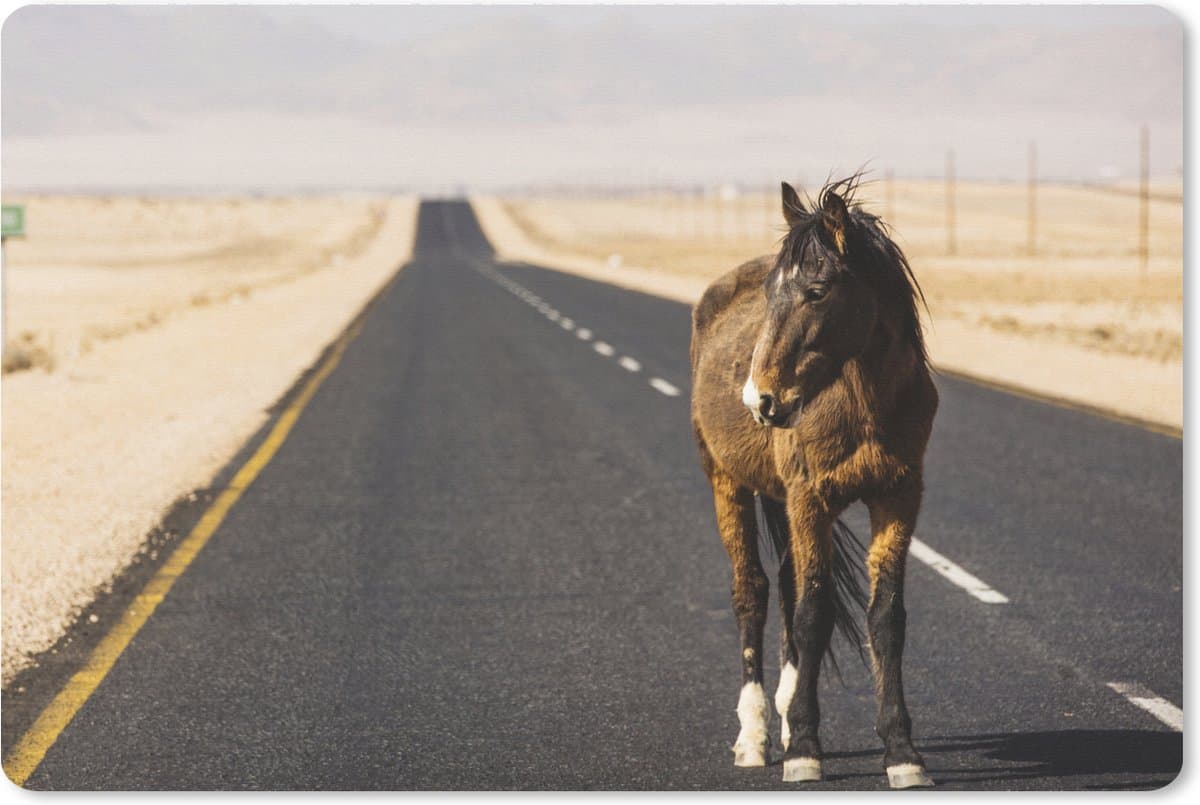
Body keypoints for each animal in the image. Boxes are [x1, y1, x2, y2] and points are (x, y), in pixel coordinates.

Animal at [689, 176, 938, 788]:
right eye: (771, 293)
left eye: (818, 291)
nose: (759, 400)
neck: (863, 402)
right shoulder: (811, 499)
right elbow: (814, 613)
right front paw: (804, 746)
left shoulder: (899, 496)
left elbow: (885, 617)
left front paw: (902, 752)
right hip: (726, 482)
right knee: (752, 592)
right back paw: (754, 735)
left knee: (784, 585)